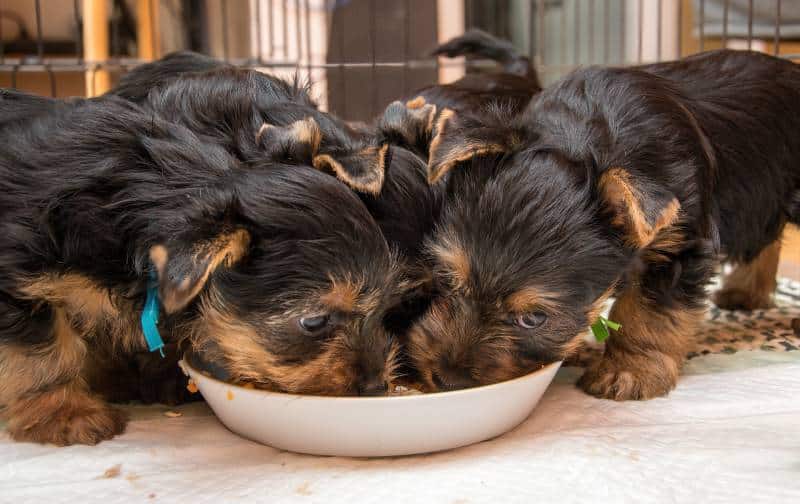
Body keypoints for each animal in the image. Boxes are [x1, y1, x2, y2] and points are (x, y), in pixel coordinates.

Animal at [406, 50, 800, 398]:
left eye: (534, 319)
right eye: (446, 279)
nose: (447, 378)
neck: (583, 139)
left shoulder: (681, 242)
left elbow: (650, 313)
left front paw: (628, 370)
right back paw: (747, 292)